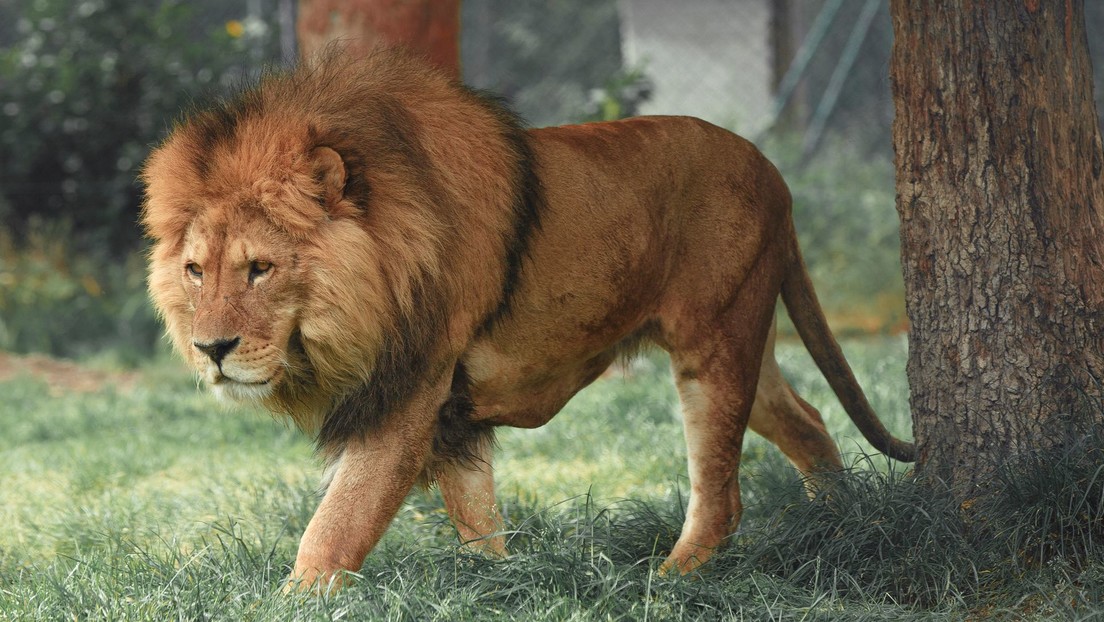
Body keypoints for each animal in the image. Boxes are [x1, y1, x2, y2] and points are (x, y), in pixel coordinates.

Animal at [141, 48, 914, 589]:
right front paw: (503, 583)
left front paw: (292, 601)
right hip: (743, 334)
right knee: (806, 418)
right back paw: (839, 524)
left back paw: (665, 584)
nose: (211, 349)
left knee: (721, 494)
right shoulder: (449, 412)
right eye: (195, 271)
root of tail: (773, 172)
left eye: (259, 268)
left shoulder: (410, 391)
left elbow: (338, 524)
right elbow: (476, 518)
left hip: (714, 341)